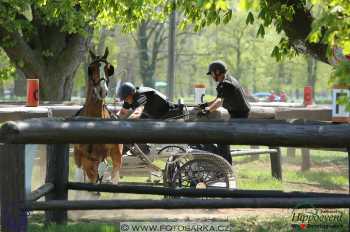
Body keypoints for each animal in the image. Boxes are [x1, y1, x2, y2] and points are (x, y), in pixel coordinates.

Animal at [73, 48, 123, 186]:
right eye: (91, 68)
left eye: (109, 69)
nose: (102, 91)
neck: (92, 123)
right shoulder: (79, 156)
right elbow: (79, 178)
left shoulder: (102, 156)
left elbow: (100, 174)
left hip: (116, 157)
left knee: (113, 174)